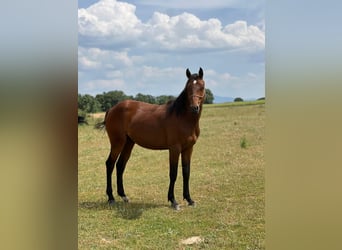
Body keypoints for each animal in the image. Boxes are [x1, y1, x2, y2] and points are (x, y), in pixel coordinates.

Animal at [94, 67, 206, 210]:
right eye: (188, 88)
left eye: (202, 87)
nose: (194, 108)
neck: (183, 118)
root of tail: (112, 109)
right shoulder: (174, 149)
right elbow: (173, 173)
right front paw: (173, 201)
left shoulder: (188, 149)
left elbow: (186, 173)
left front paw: (190, 200)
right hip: (117, 143)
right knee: (110, 164)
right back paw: (111, 198)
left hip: (129, 143)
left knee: (120, 165)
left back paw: (123, 196)